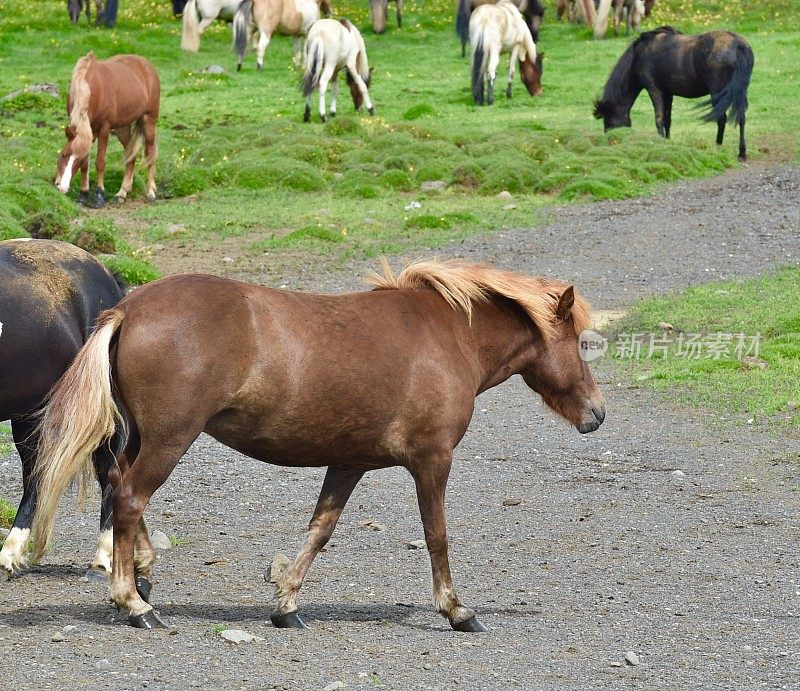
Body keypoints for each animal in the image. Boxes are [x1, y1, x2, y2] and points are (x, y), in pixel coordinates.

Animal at [32, 260, 608, 632]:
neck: (449, 338)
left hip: (146, 438)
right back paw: (134, 602)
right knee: (130, 497)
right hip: (171, 439)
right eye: (581, 343)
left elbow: (319, 530)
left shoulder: (349, 463)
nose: (597, 414)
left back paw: (143, 575)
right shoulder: (432, 460)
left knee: (118, 487)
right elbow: (436, 536)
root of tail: (127, 309)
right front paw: (457, 610)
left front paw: (286, 603)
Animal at [55, 53, 161, 208]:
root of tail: (147, 65)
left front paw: (99, 196)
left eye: (76, 159)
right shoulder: (87, 134)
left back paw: (151, 192)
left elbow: (100, 163)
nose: (61, 187)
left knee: (150, 153)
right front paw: (83, 195)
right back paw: (122, 193)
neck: (92, 89)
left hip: (148, 121)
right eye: (63, 155)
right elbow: (86, 165)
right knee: (131, 155)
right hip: (122, 127)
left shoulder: (104, 130)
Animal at [592, 26, 756, 162]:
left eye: (608, 122)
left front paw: (660, 144)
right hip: (741, 90)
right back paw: (741, 153)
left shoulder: (654, 89)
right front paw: (668, 142)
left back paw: (718, 146)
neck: (639, 56)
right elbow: (667, 119)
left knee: (721, 119)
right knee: (741, 117)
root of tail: (739, 45)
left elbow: (659, 119)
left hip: (718, 93)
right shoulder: (668, 93)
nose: (612, 143)